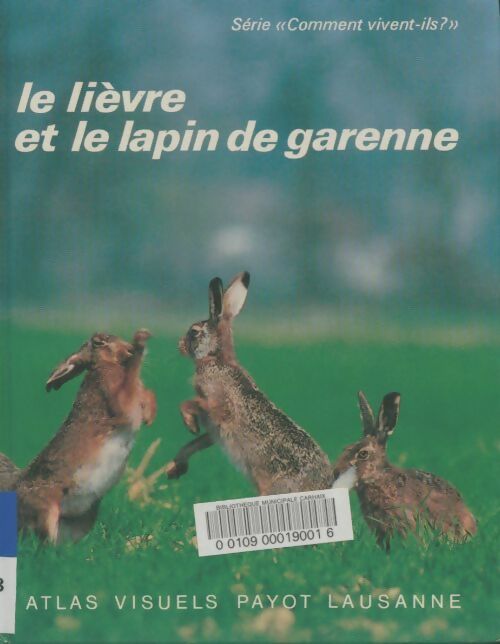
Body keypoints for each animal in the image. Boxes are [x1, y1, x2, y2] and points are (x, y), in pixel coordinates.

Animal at [10, 329, 156, 544]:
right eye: (98, 341)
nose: (128, 349)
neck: (104, 365)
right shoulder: (118, 399)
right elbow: (129, 385)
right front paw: (141, 341)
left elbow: (147, 394)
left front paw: (151, 416)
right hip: (46, 510)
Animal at [166, 272, 333, 495]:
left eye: (194, 331)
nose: (180, 345)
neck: (216, 359)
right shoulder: (214, 430)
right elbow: (195, 443)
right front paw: (173, 468)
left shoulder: (218, 408)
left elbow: (188, 404)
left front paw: (190, 425)